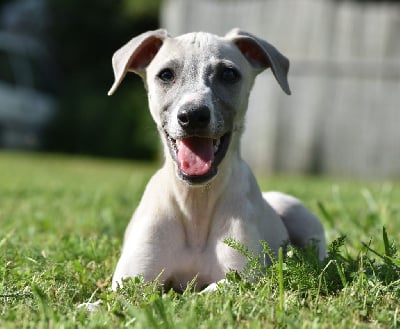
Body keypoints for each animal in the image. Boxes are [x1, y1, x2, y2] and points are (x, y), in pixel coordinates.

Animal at [107, 28, 324, 292]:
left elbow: (204, 293)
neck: (196, 203)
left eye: (228, 74)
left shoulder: (244, 279)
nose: (193, 115)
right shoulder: (130, 281)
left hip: (297, 211)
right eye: (166, 74)